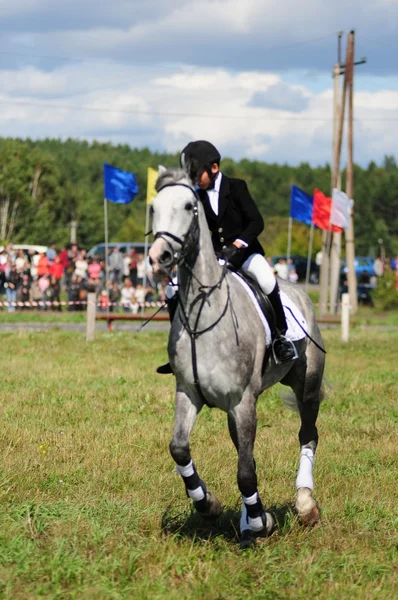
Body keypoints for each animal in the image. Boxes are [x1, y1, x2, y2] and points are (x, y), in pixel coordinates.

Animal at [148, 168, 324, 548]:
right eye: (154, 207)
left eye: (189, 206)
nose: (159, 257)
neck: (204, 316)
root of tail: (298, 289)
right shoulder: (189, 393)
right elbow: (180, 449)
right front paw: (208, 505)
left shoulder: (243, 401)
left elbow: (245, 471)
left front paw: (260, 522)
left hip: (306, 383)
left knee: (308, 433)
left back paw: (305, 504)